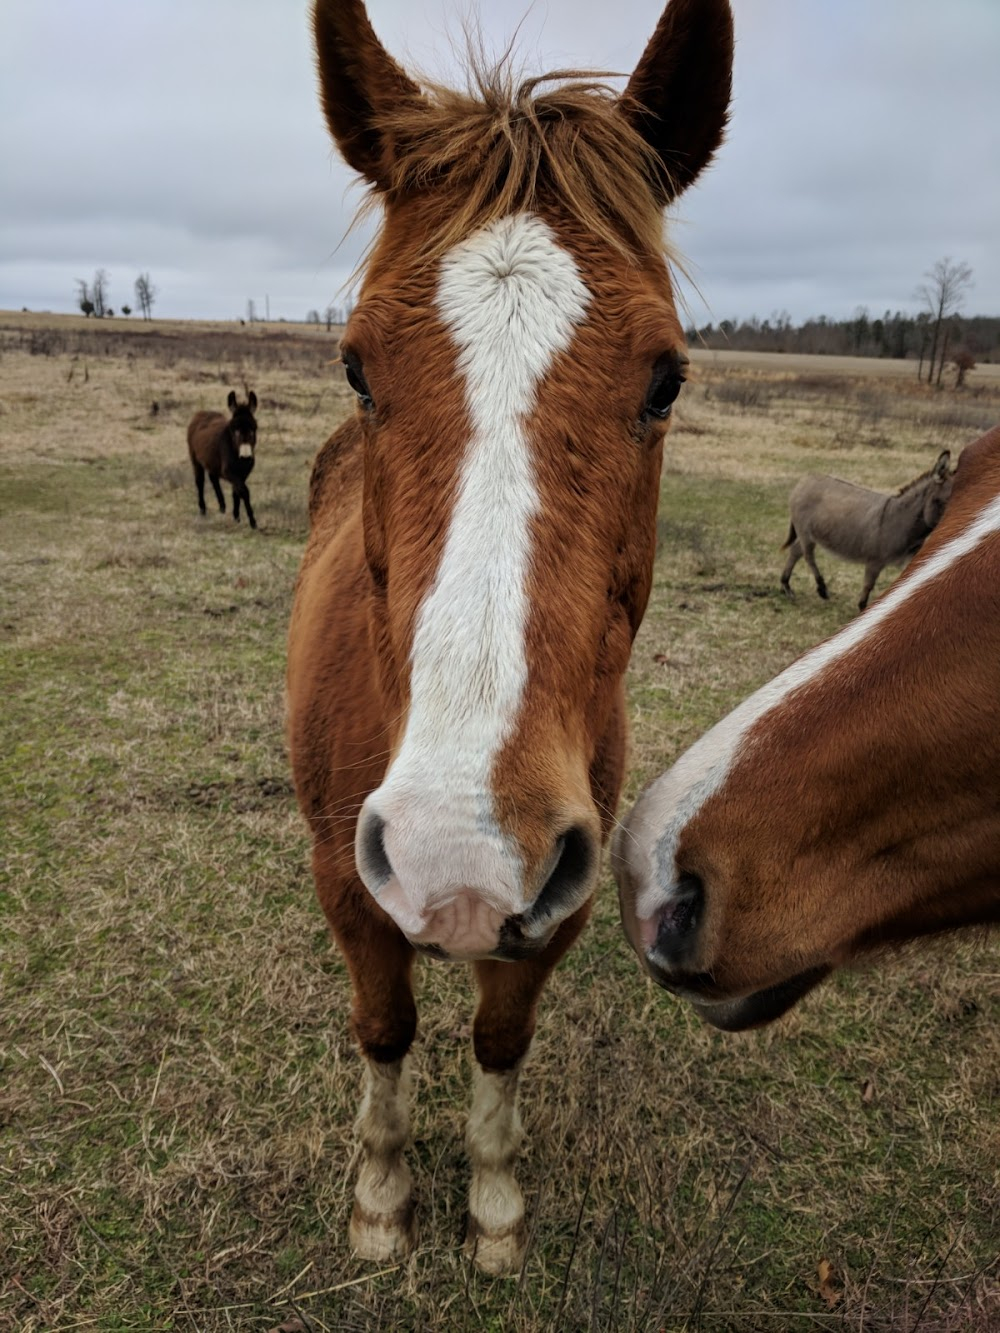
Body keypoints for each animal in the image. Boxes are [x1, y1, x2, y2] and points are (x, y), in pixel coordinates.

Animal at [186, 389, 258, 527]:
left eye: (254, 428)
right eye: (235, 429)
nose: (245, 457)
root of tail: (202, 412)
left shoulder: (244, 473)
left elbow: (236, 492)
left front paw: (236, 516)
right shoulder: (229, 471)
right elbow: (244, 491)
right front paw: (252, 521)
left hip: (211, 461)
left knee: (213, 478)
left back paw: (222, 506)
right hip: (195, 459)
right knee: (200, 482)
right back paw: (202, 509)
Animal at [288, 0, 736, 1269]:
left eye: (667, 380)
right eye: (356, 366)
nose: (459, 859)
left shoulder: (556, 904)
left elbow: (496, 1043)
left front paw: (492, 1208)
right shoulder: (348, 884)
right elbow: (385, 1025)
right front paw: (381, 1200)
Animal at [784, 450, 954, 610]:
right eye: (940, 502)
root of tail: (808, 476)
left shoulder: (910, 559)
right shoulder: (875, 561)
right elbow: (868, 586)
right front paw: (863, 609)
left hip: (810, 534)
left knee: (796, 551)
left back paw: (786, 586)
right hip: (805, 532)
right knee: (808, 556)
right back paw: (821, 589)